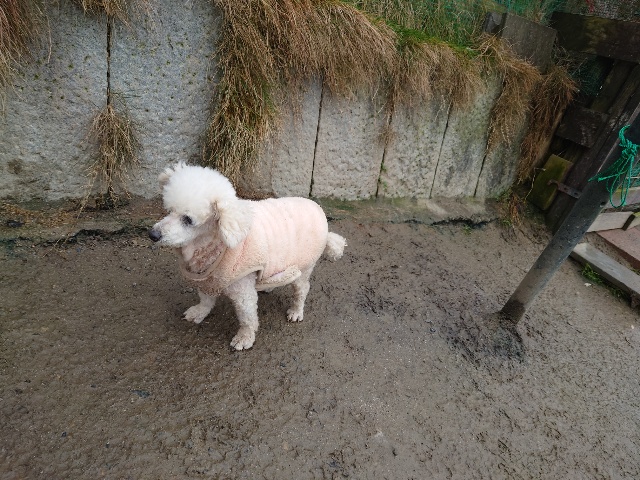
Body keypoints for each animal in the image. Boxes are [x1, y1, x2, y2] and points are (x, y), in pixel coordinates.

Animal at [149, 162, 346, 350]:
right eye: (168, 210)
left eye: (188, 220)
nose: (153, 235)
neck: (213, 245)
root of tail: (317, 208)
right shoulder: (207, 279)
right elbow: (205, 299)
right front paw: (199, 312)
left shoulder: (242, 290)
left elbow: (247, 317)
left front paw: (245, 338)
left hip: (304, 266)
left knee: (302, 289)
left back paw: (296, 311)